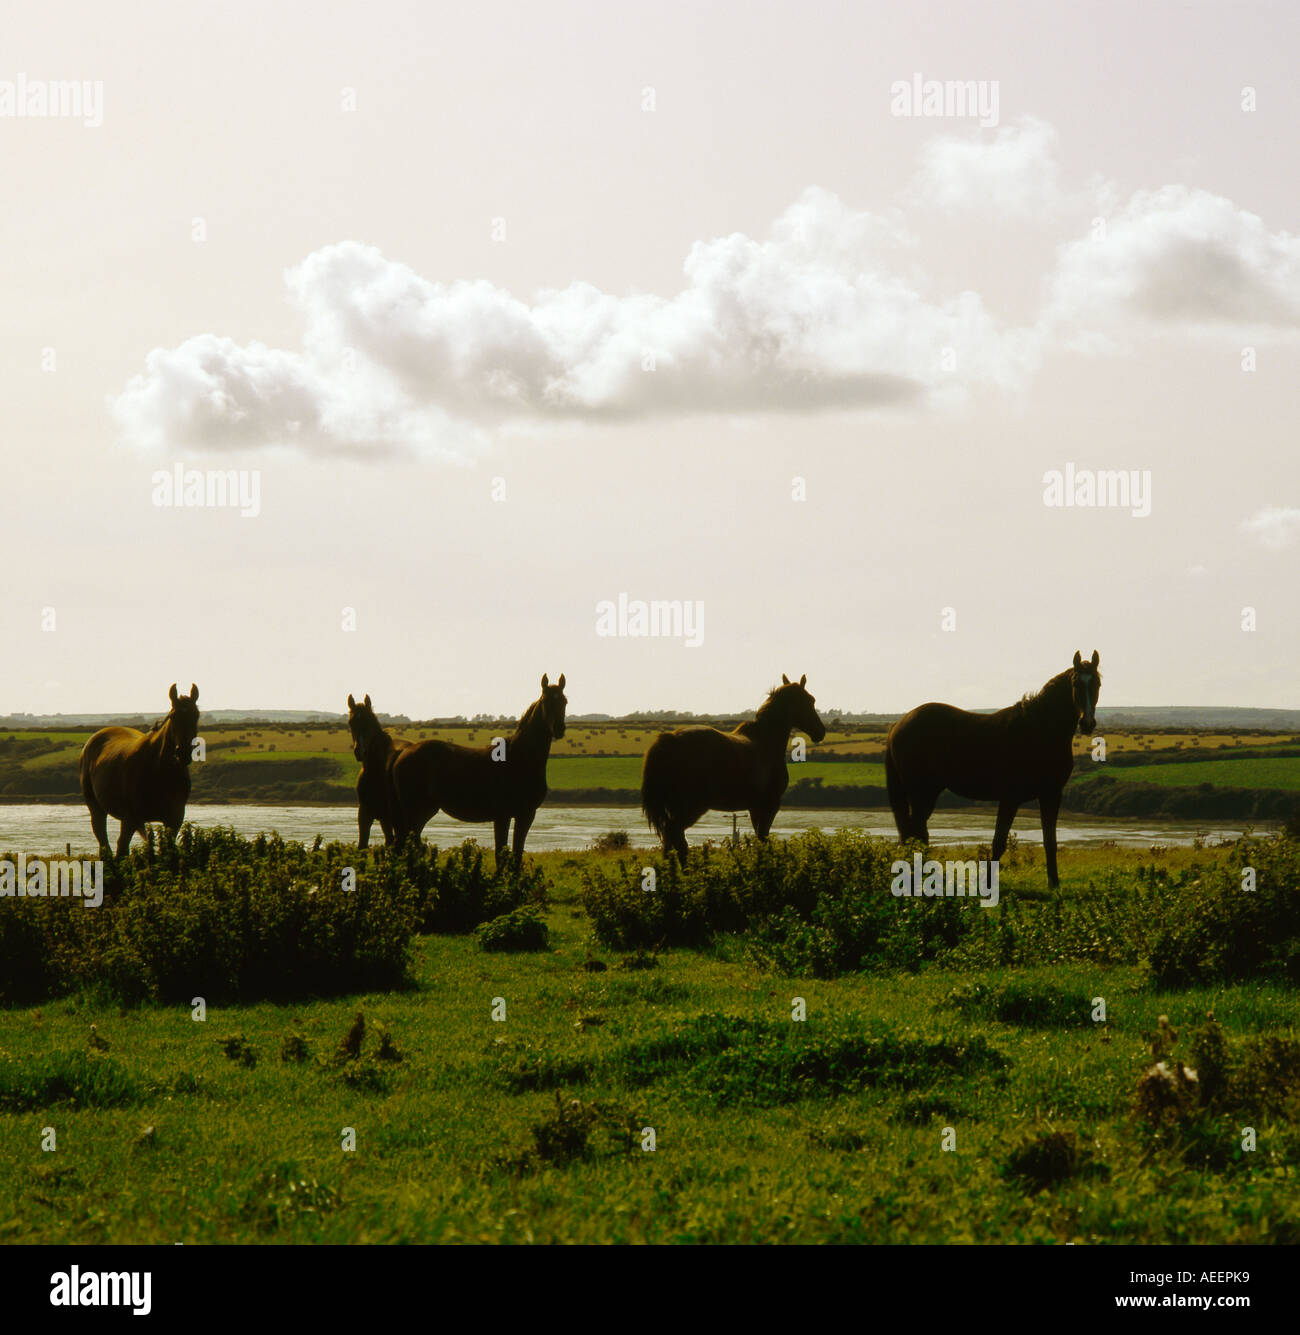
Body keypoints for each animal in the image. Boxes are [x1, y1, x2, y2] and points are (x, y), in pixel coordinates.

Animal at [79, 683, 202, 859]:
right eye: (173, 716)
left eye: (196, 715)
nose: (184, 753)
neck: (159, 771)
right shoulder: (131, 818)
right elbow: (122, 850)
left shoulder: (174, 820)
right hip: (97, 809)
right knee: (105, 844)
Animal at [347, 694, 411, 849]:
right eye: (351, 723)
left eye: (370, 721)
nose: (359, 752)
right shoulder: (365, 814)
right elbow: (362, 844)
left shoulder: (389, 817)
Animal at [389, 672, 568, 859]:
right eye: (546, 701)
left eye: (564, 701)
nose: (559, 729)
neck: (521, 758)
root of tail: (404, 751)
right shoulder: (503, 816)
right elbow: (501, 855)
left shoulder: (526, 815)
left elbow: (516, 855)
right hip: (414, 810)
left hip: (424, 811)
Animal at [643, 672, 832, 859]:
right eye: (809, 700)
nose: (820, 732)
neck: (765, 741)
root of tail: (671, 739)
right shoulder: (770, 804)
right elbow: (763, 838)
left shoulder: (754, 807)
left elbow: (759, 837)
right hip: (691, 807)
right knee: (676, 838)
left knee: (669, 841)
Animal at [886, 648, 1099, 886]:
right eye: (1076, 684)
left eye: (1097, 684)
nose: (1087, 723)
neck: (1039, 730)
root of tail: (899, 724)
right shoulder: (1010, 798)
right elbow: (999, 842)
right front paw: (988, 883)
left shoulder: (1051, 795)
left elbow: (1049, 841)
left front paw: (1054, 882)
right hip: (922, 794)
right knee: (915, 834)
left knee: (915, 833)